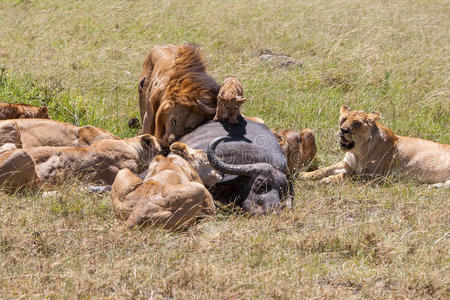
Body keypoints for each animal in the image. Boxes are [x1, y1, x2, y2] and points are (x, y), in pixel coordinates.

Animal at [298, 105, 450, 185]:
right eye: (344, 119)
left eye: (357, 124)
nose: (343, 130)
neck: (357, 152)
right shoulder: (347, 164)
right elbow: (324, 169)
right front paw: (305, 175)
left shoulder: (373, 175)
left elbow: (345, 176)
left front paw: (323, 181)